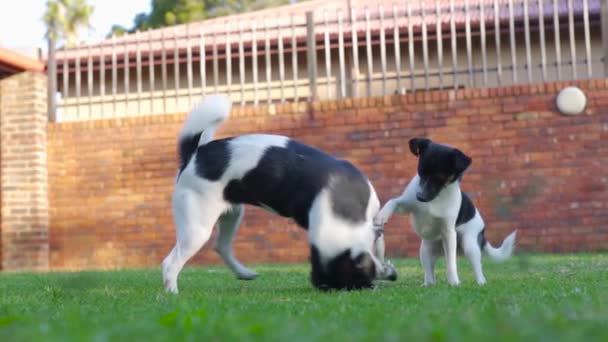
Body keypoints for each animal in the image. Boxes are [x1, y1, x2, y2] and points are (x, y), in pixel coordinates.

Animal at [162, 95, 396, 292]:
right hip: (197, 229)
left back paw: (243, 272)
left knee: (221, 246)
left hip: (232, 214)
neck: (341, 204)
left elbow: (379, 246)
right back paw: (172, 292)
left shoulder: (374, 224)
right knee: (170, 263)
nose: (389, 277)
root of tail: (193, 154)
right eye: (355, 282)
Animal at [372, 138, 516, 284]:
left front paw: (454, 282)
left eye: (440, 177)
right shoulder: (406, 204)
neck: (435, 198)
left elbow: (451, 263)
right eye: (420, 171)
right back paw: (427, 284)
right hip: (425, 250)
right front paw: (382, 216)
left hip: (470, 244)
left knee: (477, 268)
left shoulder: (448, 232)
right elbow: (393, 201)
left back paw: (480, 283)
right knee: (430, 273)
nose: (420, 197)